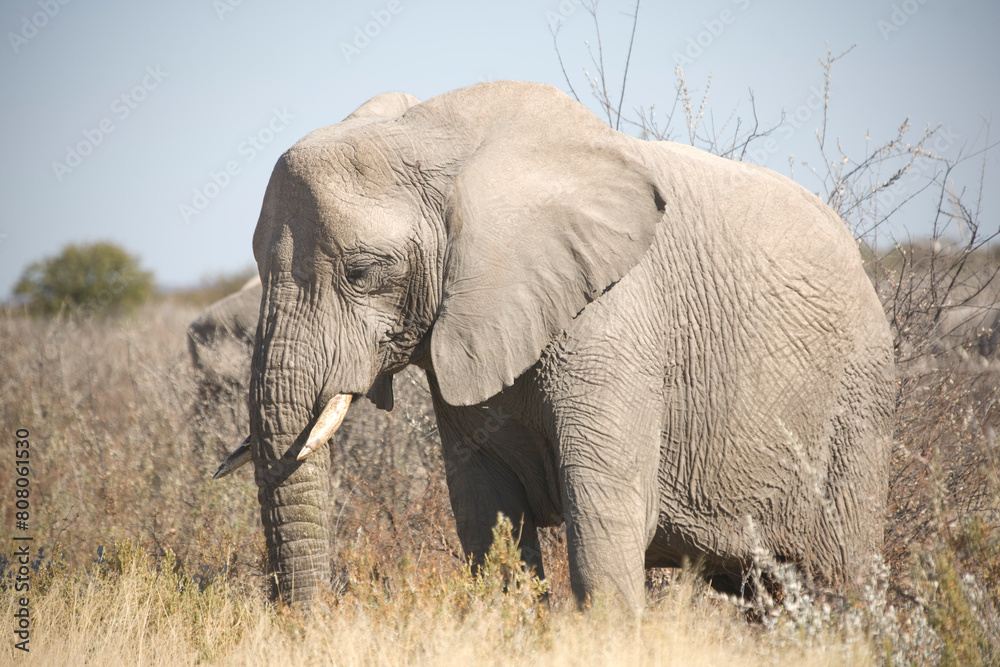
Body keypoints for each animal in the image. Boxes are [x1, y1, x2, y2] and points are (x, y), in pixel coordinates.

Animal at [240, 81, 895, 610]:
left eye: (362, 272)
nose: (313, 619)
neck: (437, 137)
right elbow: (485, 514)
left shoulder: (617, 319)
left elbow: (604, 510)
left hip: (857, 406)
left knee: (840, 576)